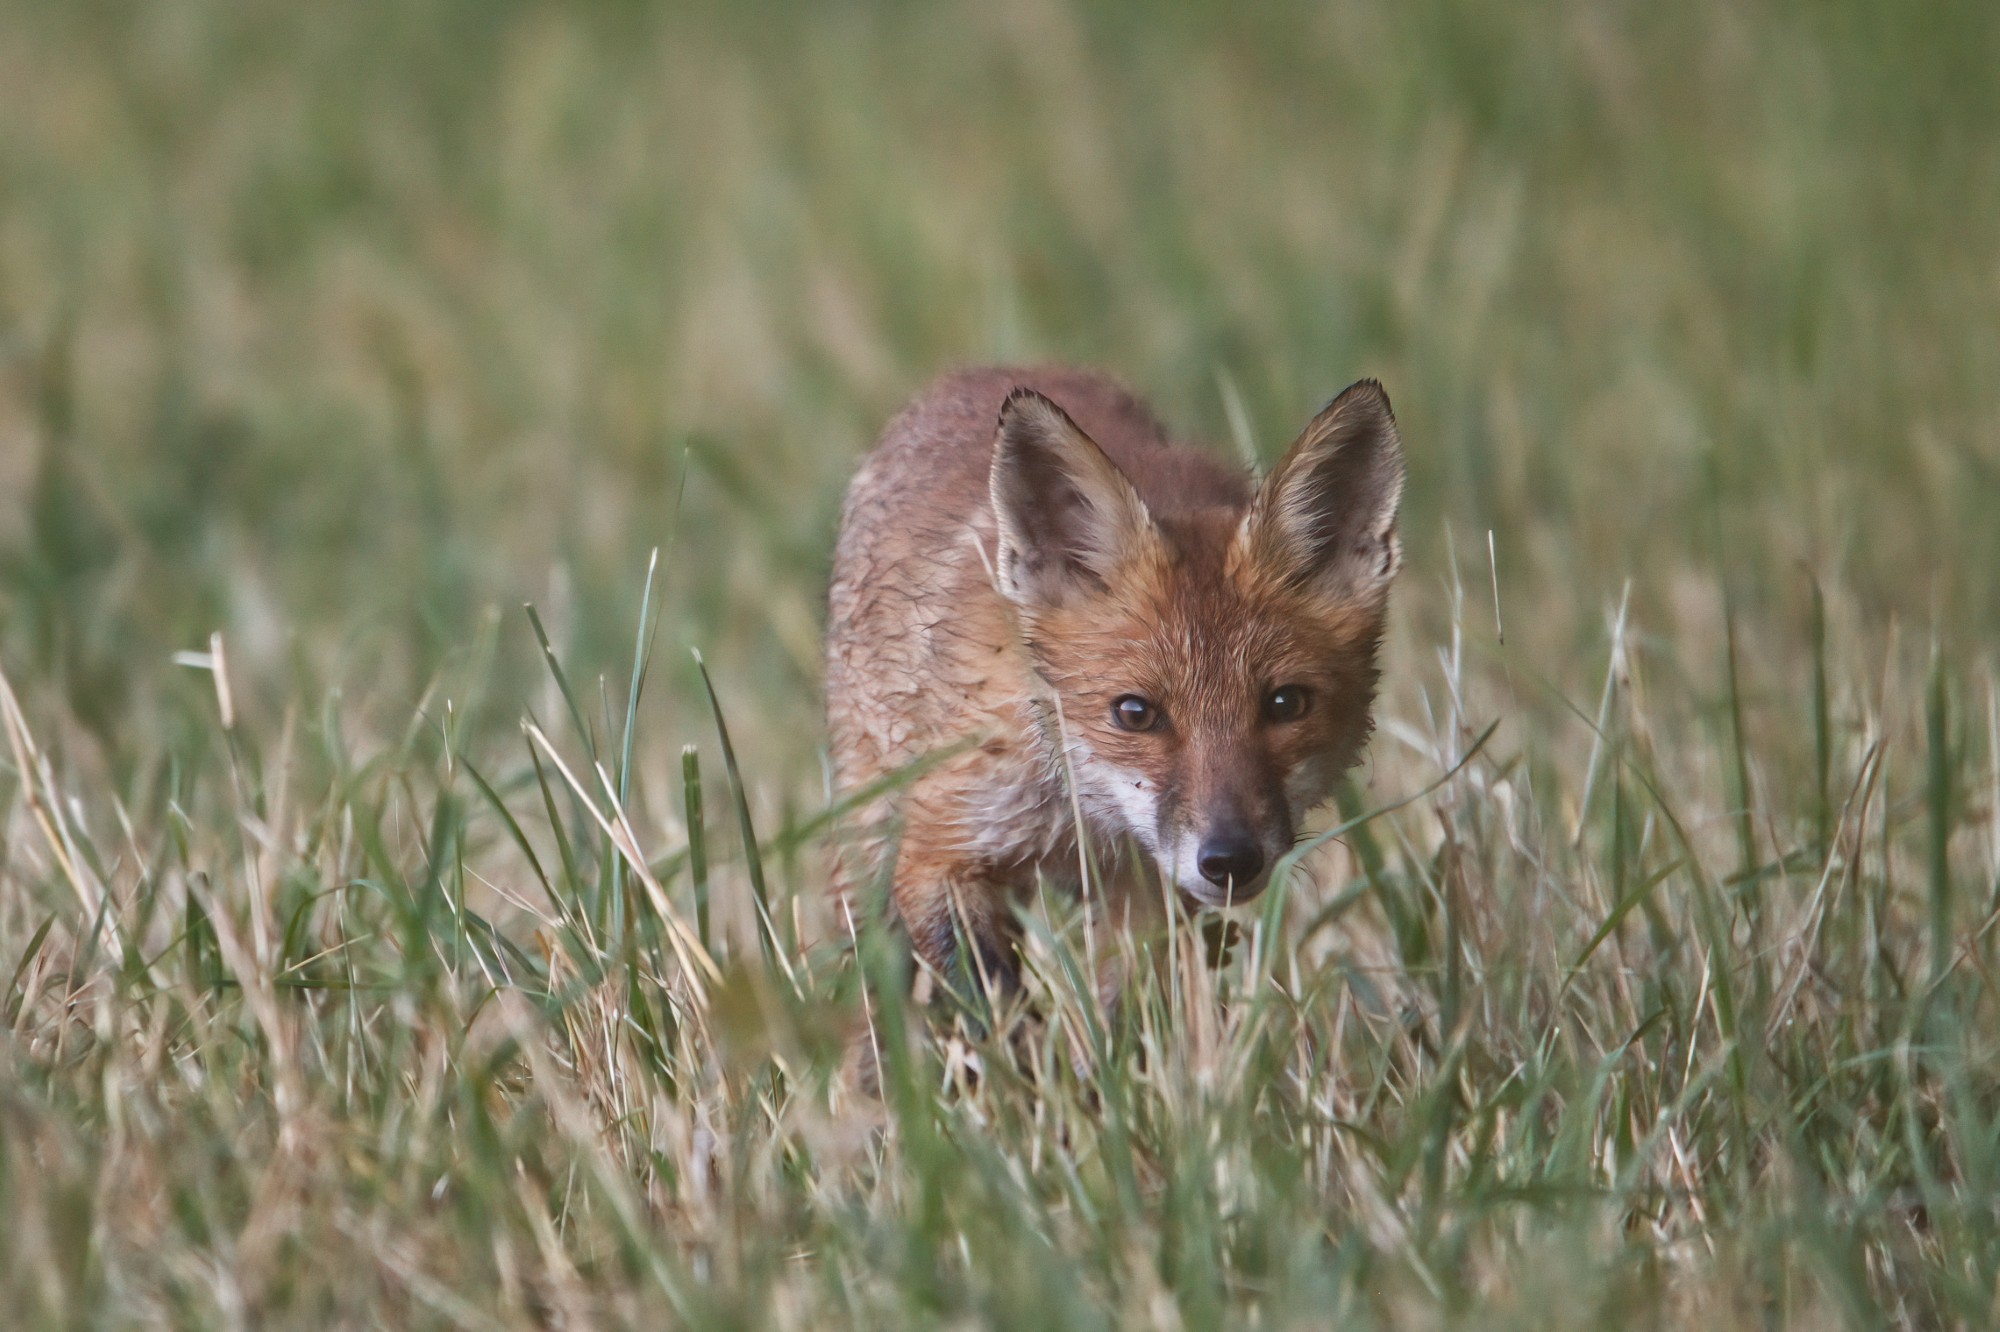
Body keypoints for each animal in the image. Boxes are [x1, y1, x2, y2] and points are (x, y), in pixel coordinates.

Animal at [825, 366, 1404, 995]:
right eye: (1134, 713)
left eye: (1285, 703)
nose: (1230, 861)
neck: (1081, 814)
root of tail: (986, 370)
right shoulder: (940, 848)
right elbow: (993, 1000)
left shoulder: (1150, 895)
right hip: (870, 856)